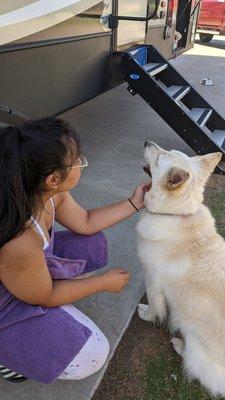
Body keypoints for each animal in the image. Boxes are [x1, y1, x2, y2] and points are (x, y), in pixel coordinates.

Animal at [136, 142, 224, 396]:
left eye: (159, 158)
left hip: (195, 342)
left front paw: (146, 314)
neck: (178, 215)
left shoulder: (152, 280)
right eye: (164, 150)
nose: (147, 142)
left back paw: (178, 344)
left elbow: (154, 308)